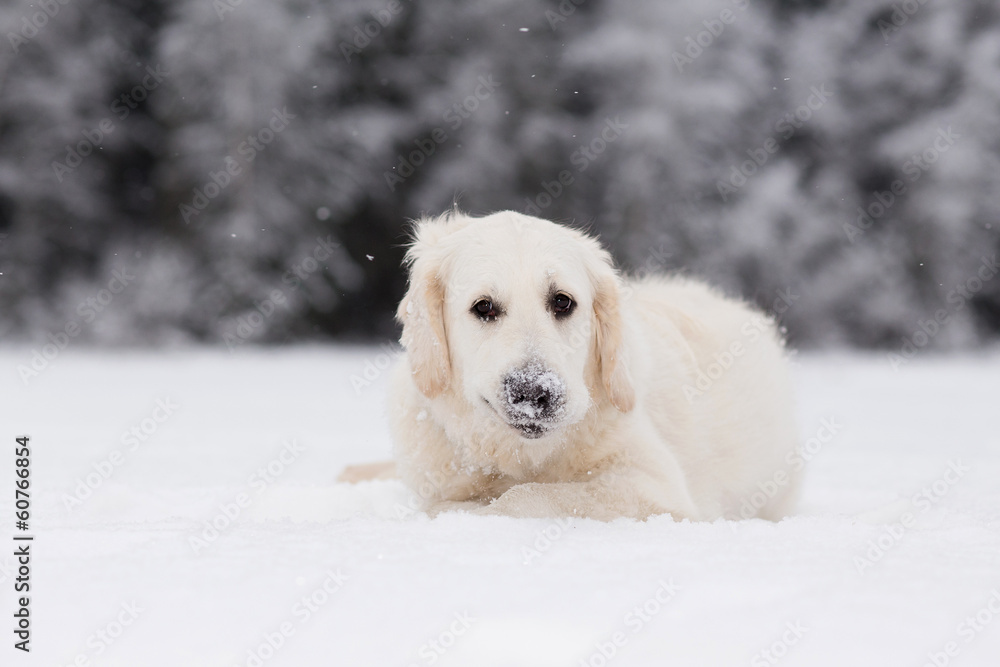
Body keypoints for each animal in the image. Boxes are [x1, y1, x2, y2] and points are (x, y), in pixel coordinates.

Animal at [340, 210, 800, 520]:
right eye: (483, 307)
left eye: (562, 301)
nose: (533, 393)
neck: (522, 456)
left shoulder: (654, 486)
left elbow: (528, 495)